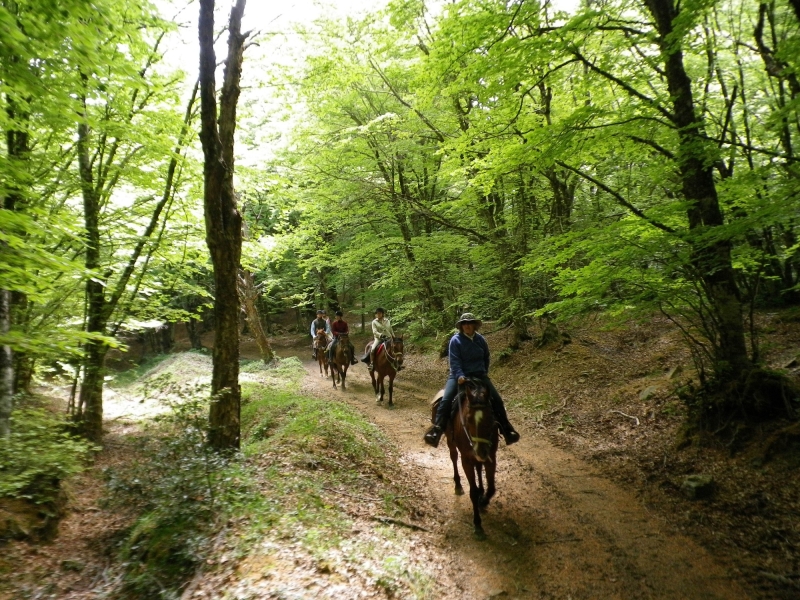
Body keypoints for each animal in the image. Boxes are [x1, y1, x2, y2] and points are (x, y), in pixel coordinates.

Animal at [432, 378, 500, 536]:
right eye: (468, 419)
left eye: (490, 417)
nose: (481, 451)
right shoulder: (467, 460)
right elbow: (472, 492)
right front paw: (477, 524)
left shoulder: (491, 457)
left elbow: (492, 488)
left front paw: (483, 501)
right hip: (451, 442)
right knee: (454, 457)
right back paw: (458, 485)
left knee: (478, 467)